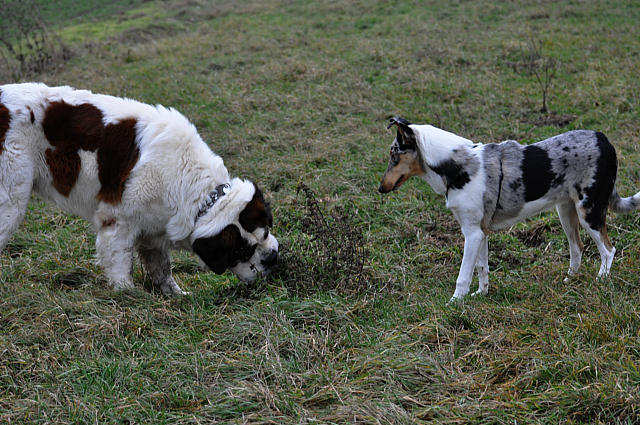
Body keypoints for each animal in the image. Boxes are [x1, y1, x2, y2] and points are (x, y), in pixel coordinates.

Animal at [0, 83, 278, 295]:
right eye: (241, 251)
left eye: (265, 232)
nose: (272, 258)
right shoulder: (117, 221)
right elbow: (121, 261)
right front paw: (129, 295)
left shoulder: (155, 230)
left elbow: (161, 267)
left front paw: (174, 294)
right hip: (11, 201)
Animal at [379, 117, 640, 302]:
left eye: (394, 155)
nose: (380, 188)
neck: (459, 165)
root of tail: (603, 139)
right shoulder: (480, 233)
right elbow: (482, 268)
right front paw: (480, 296)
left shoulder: (472, 234)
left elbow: (463, 276)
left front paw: (454, 303)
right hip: (566, 213)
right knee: (577, 249)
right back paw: (569, 281)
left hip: (589, 212)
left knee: (608, 250)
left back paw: (601, 280)